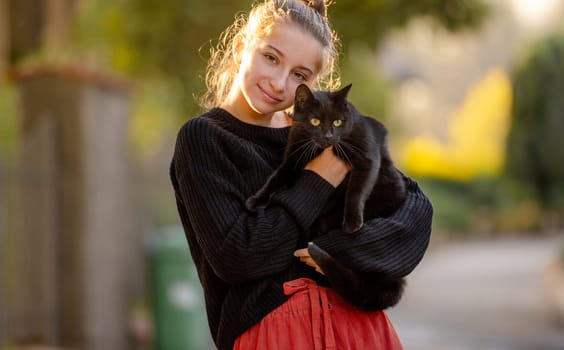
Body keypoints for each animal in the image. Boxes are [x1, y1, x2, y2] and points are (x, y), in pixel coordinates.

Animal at [246, 83, 406, 310]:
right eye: (315, 121)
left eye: (338, 122)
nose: (329, 136)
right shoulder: (293, 158)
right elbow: (275, 178)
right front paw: (256, 201)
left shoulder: (366, 159)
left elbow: (356, 191)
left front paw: (352, 223)